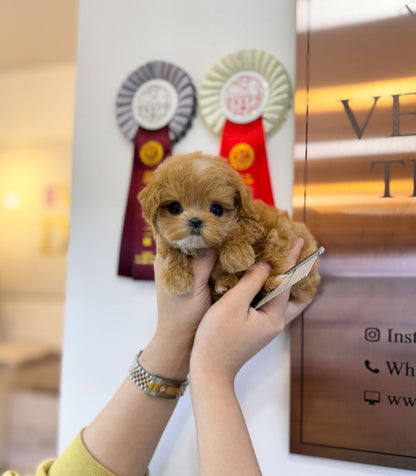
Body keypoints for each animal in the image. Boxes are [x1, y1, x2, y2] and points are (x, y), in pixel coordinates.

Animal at [138, 151, 320, 304]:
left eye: (217, 210)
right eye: (175, 208)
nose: (195, 220)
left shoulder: (257, 226)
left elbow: (240, 229)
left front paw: (236, 255)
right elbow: (172, 249)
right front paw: (177, 277)